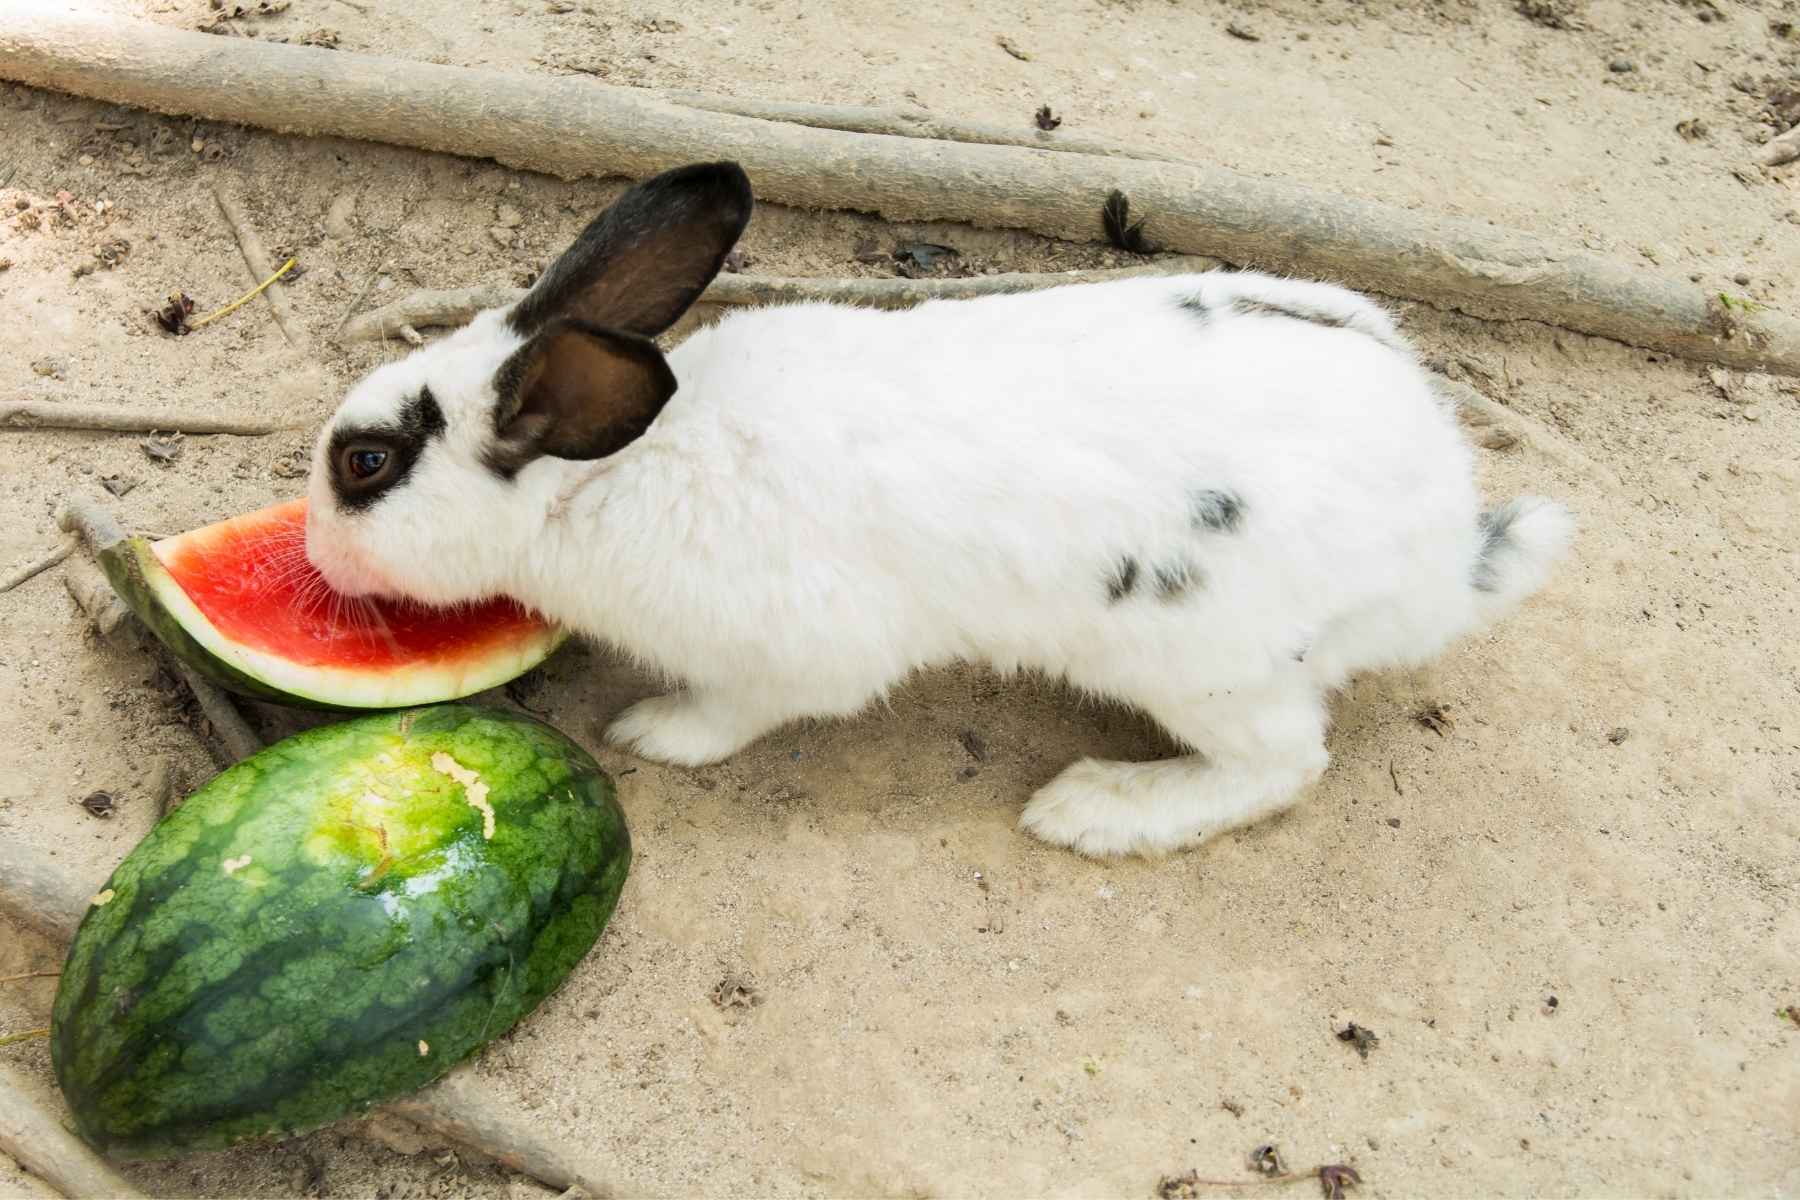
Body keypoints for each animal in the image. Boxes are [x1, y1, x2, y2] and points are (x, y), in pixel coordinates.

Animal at [309, 159, 1576, 859]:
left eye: (365, 464)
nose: (313, 554)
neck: (611, 470)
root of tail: (1446, 548)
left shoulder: (793, 657)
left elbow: (734, 712)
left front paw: (652, 734)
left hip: (1203, 664)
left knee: (1285, 765)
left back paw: (1098, 811)